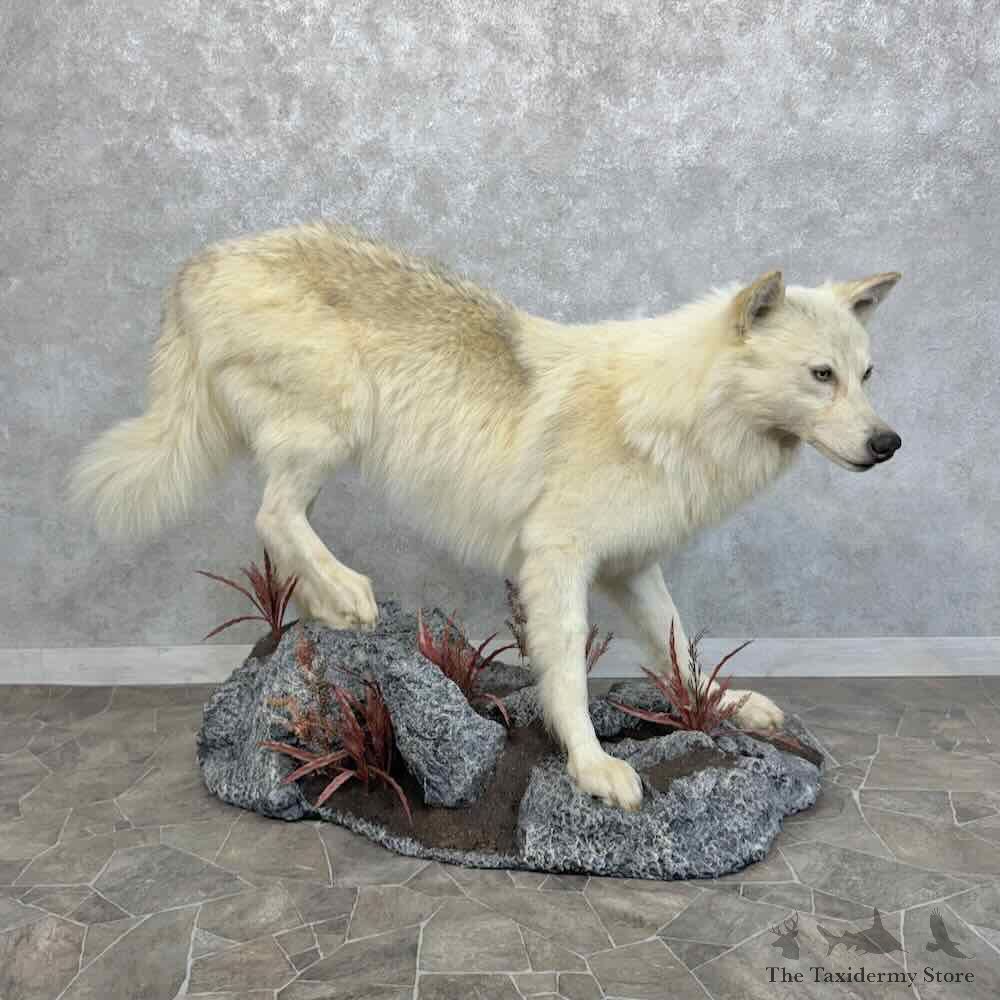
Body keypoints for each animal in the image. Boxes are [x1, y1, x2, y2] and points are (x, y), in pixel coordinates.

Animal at [70, 222, 901, 810]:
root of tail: (202, 260)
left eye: (865, 375)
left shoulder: (633, 569)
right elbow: (566, 672)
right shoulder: (556, 560)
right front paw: (593, 767)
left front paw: (720, 707)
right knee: (271, 517)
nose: (888, 444)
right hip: (334, 428)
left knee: (281, 525)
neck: (678, 414)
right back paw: (349, 596)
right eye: (819, 375)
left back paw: (329, 611)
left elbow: (678, 648)